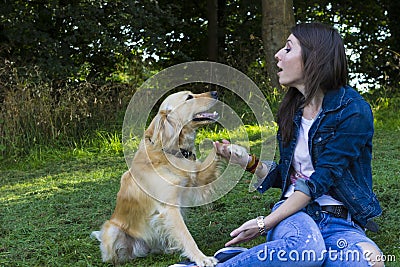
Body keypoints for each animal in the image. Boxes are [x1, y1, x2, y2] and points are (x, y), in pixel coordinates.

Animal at [91, 91, 222, 266]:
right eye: (189, 97)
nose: (215, 92)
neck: (168, 151)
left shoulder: (197, 180)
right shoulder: (169, 208)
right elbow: (187, 237)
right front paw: (202, 258)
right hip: (112, 229)